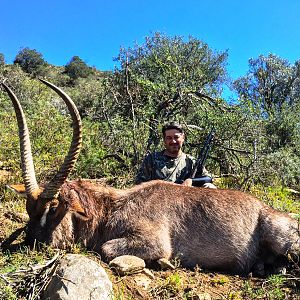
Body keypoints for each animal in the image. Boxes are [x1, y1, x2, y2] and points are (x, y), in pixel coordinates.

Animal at [2, 79, 300, 274]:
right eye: (28, 208)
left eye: (54, 208)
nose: (32, 242)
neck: (112, 208)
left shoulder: (153, 240)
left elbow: (107, 249)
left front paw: (163, 262)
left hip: (283, 239)